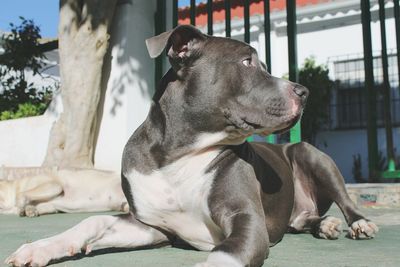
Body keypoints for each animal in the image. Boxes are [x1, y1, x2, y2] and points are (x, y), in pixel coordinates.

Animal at [5, 25, 378, 267]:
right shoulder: (154, 227)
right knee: (304, 219)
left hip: (311, 154)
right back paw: (323, 224)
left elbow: (222, 255)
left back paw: (356, 224)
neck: (178, 155)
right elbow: (92, 223)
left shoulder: (247, 221)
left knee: (346, 200)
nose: (304, 91)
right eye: (247, 62)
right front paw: (40, 247)